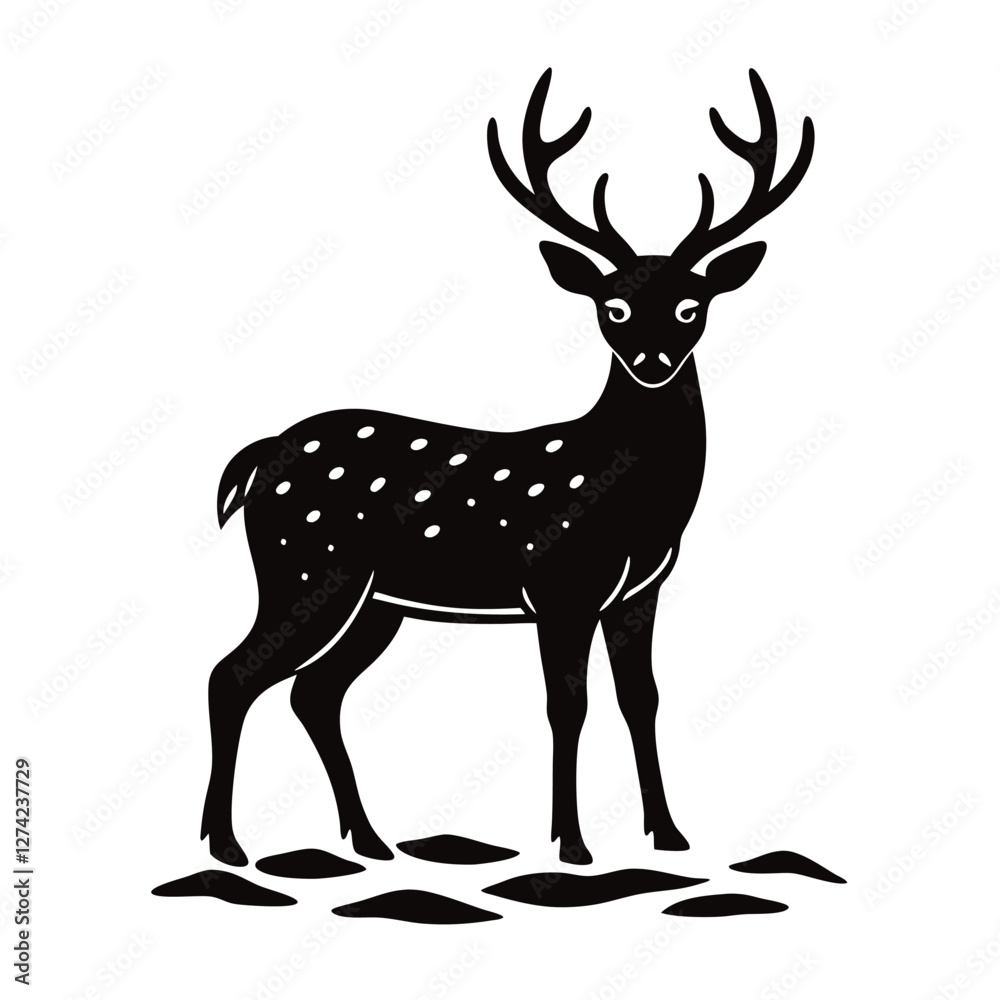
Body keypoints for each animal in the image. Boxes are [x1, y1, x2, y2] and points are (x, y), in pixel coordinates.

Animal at [200, 68, 814, 868]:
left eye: (691, 306)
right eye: (612, 308)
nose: (651, 361)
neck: (637, 505)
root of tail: (258, 457)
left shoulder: (640, 590)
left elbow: (641, 698)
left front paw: (670, 836)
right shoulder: (559, 582)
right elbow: (567, 704)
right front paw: (572, 845)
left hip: (374, 602)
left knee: (314, 694)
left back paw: (370, 840)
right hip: (307, 567)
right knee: (233, 675)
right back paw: (226, 845)